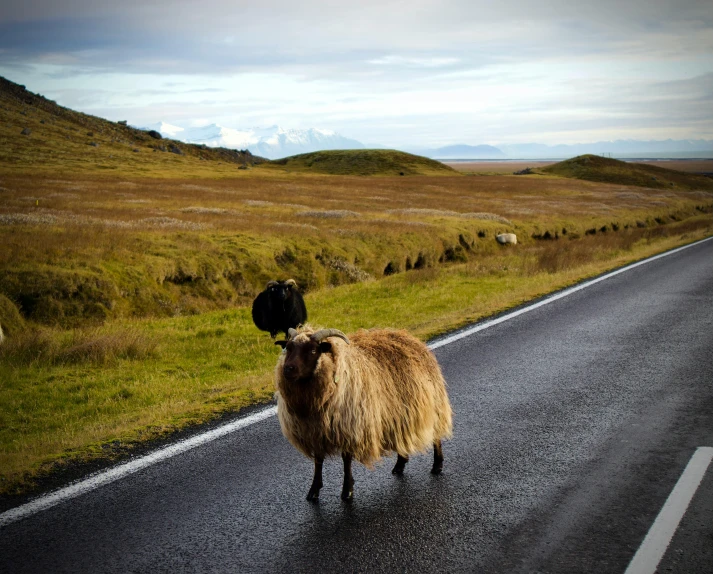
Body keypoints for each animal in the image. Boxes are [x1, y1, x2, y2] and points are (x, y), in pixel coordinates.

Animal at [272, 326, 450, 502]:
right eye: (289, 348)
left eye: (313, 350)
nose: (288, 369)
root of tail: (410, 338)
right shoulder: (314, 432)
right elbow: (318, 461)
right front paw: (314, 490)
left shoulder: (350, 427)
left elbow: (346, 460)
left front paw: (347, 491)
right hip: (401, 414)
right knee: (403, 438)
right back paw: (400, 464)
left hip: (432, 404)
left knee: (436, 435)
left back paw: (437, 465)